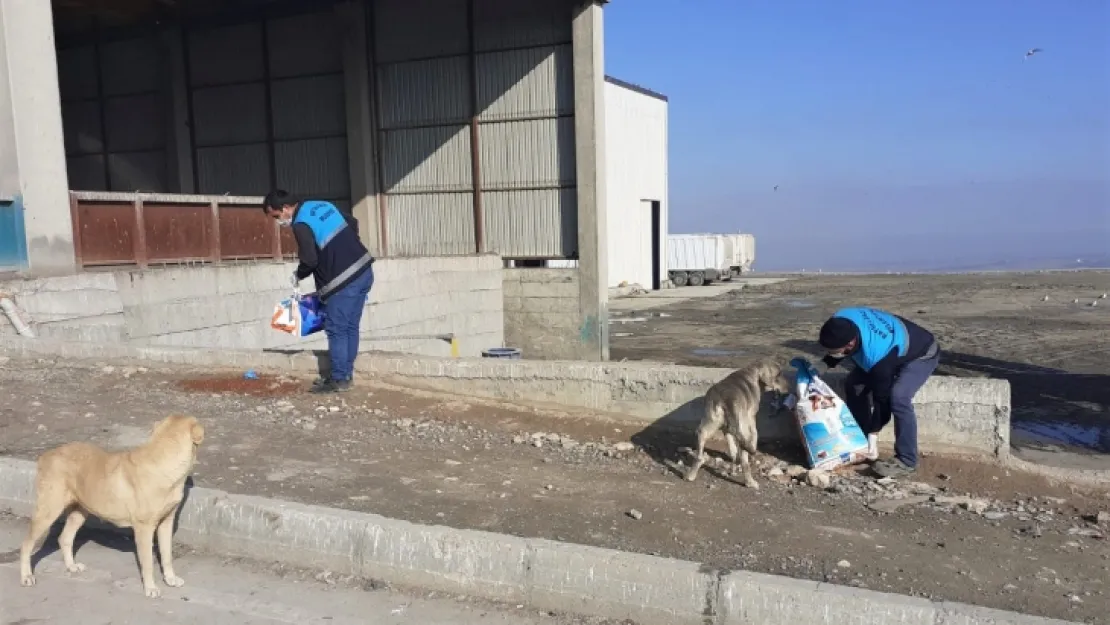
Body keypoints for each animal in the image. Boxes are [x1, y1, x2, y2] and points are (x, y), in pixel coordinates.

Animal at [19, 415, 206, 595]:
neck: (164, 461)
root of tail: (46, 455)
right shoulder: (144, 529)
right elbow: (147, 563)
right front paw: (150, 588)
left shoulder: (166, 523)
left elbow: (167, 556)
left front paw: (170, 579)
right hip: (48, 511)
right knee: (26, 544)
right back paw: (26, 576)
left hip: (79, 512)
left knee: (64, 538)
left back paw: (71, 566)